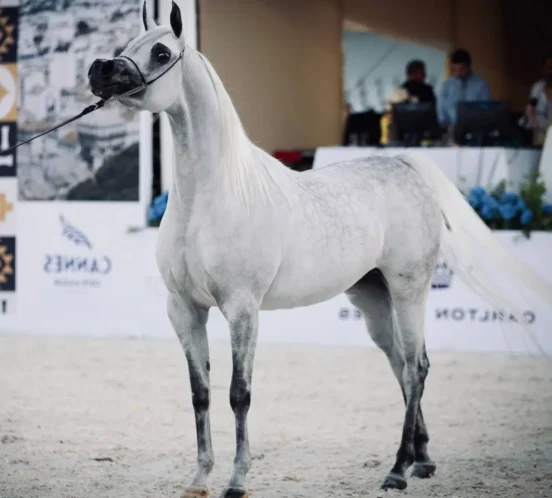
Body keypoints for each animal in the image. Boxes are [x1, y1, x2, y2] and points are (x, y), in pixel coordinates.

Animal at [88, 2, 552, 494]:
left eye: (160, 52)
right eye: (128, 46)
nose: (99, 71)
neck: (213, 197)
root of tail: (403, 165)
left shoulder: (242, 309)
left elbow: (238, 394)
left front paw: (237, 478)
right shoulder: (184, 309)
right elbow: (200, 394)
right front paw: (199, 477)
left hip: (409, 291)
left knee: (415, 367)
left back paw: (397, 470)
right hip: (373, 298)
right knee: (402, 364)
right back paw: (421, 461)